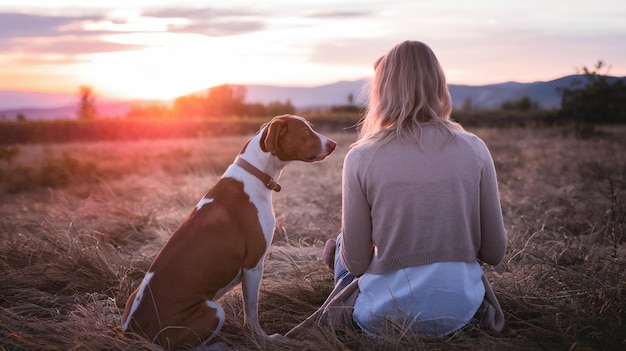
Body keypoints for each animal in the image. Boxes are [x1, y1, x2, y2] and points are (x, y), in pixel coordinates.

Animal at [122, 115, 336, 350]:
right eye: (305, 133)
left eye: (312, 128)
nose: (333, 145)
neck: (254, 173)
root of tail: (132, 331)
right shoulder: (253, 264)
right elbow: (251, 311)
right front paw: (262, 338)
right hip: (213, 311)